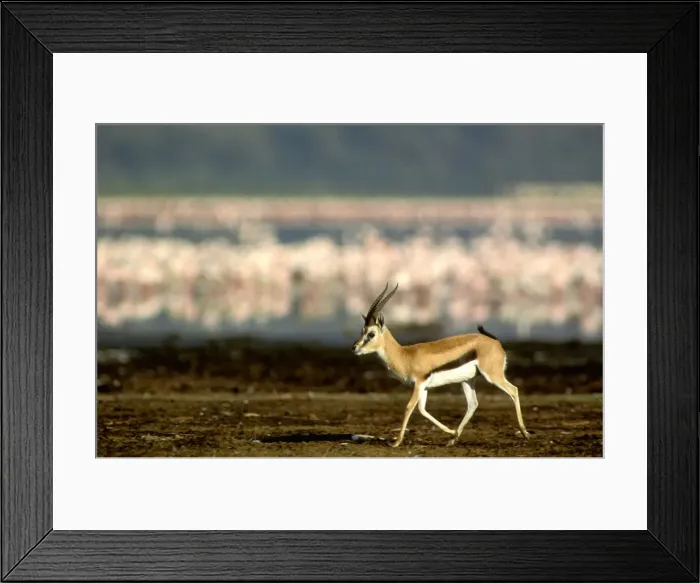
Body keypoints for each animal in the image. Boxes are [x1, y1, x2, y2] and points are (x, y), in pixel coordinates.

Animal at [352, 282, 531, 447]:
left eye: (371, 334)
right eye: (362, 332)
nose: (354, 348)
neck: (406, 355)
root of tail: (495, 342)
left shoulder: (419, 384)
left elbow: (409, 407)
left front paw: (396, 442)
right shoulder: (423, 387)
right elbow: (423, 410)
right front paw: (452, 433)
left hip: (493, 376)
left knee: (514, 390)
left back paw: (525, 433)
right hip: (467, 380)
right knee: (473, 404)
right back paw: (453, 439)